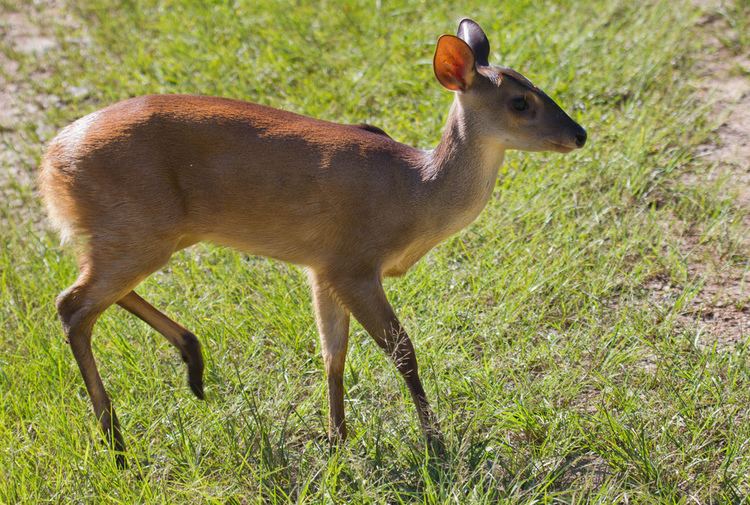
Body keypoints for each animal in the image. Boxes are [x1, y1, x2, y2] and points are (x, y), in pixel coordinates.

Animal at [38, 17, 588, 466]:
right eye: (520, 101)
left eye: (536, 84)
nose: (580, 134)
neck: (415, 191)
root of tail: (51, 164)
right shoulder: (353, 262)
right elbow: (402, 351)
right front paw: (435, 443)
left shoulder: (321, 268)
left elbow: (332, 355)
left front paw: (337, 441)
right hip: (135, 227)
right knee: (72, 305)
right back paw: (118, 447)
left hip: (138, 235)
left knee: (93, 298)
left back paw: (193, 365)